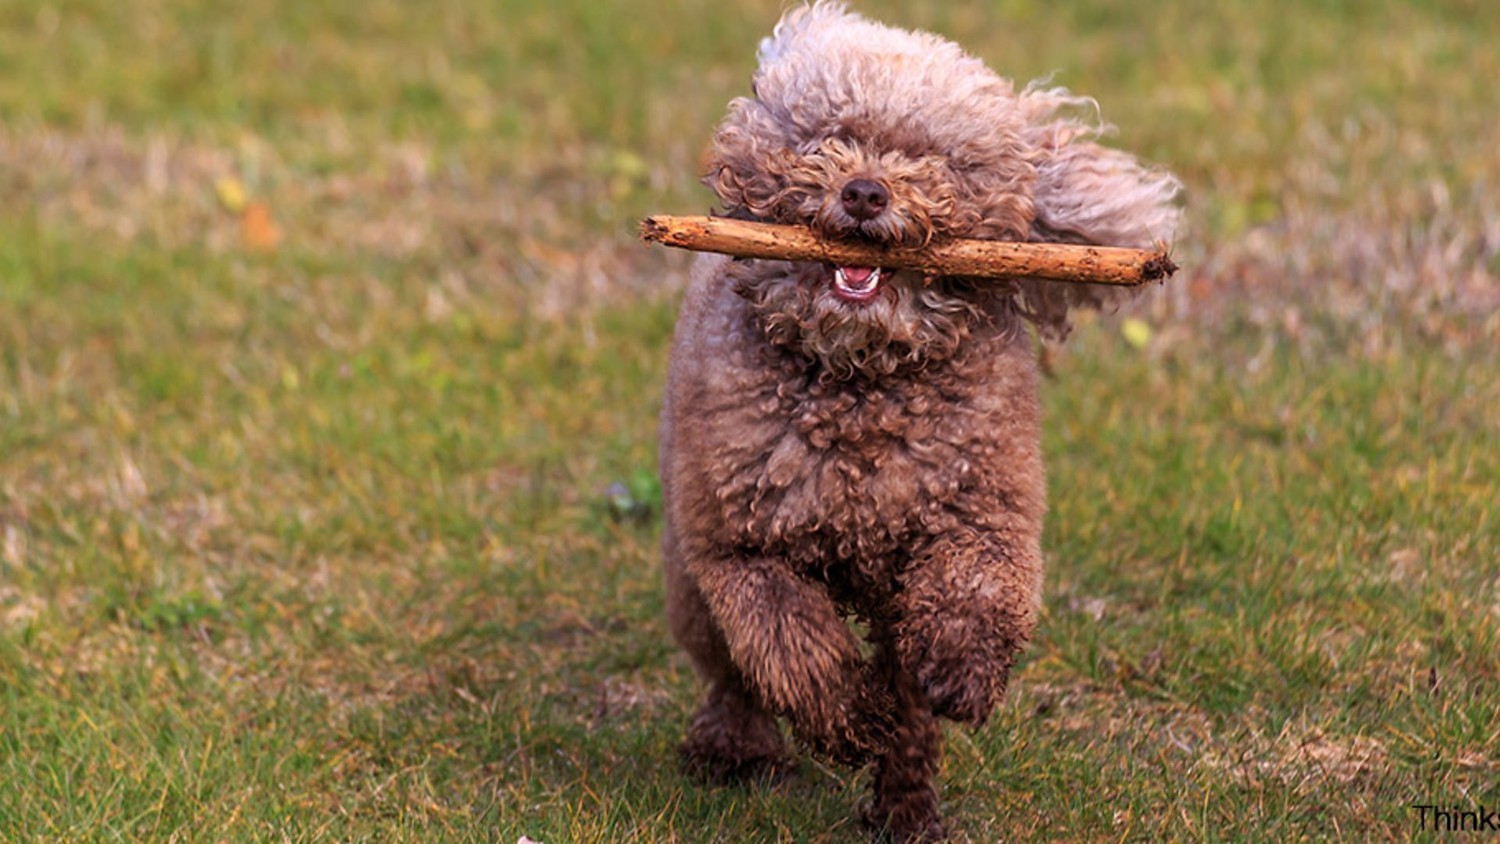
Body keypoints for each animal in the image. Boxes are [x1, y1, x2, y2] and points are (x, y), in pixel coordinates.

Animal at [657, 4, 1182, 839]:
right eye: (827, 137)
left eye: (931, 157)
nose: (866, 192)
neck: (863, 381)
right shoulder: (737, 546)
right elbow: (789, 643)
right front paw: (847, 720)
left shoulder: (980, 510)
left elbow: (974, 590)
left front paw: (961, 673)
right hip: (689, 567)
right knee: (733, 670)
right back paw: (735, 747)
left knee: (906, 702)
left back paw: (906, 807)